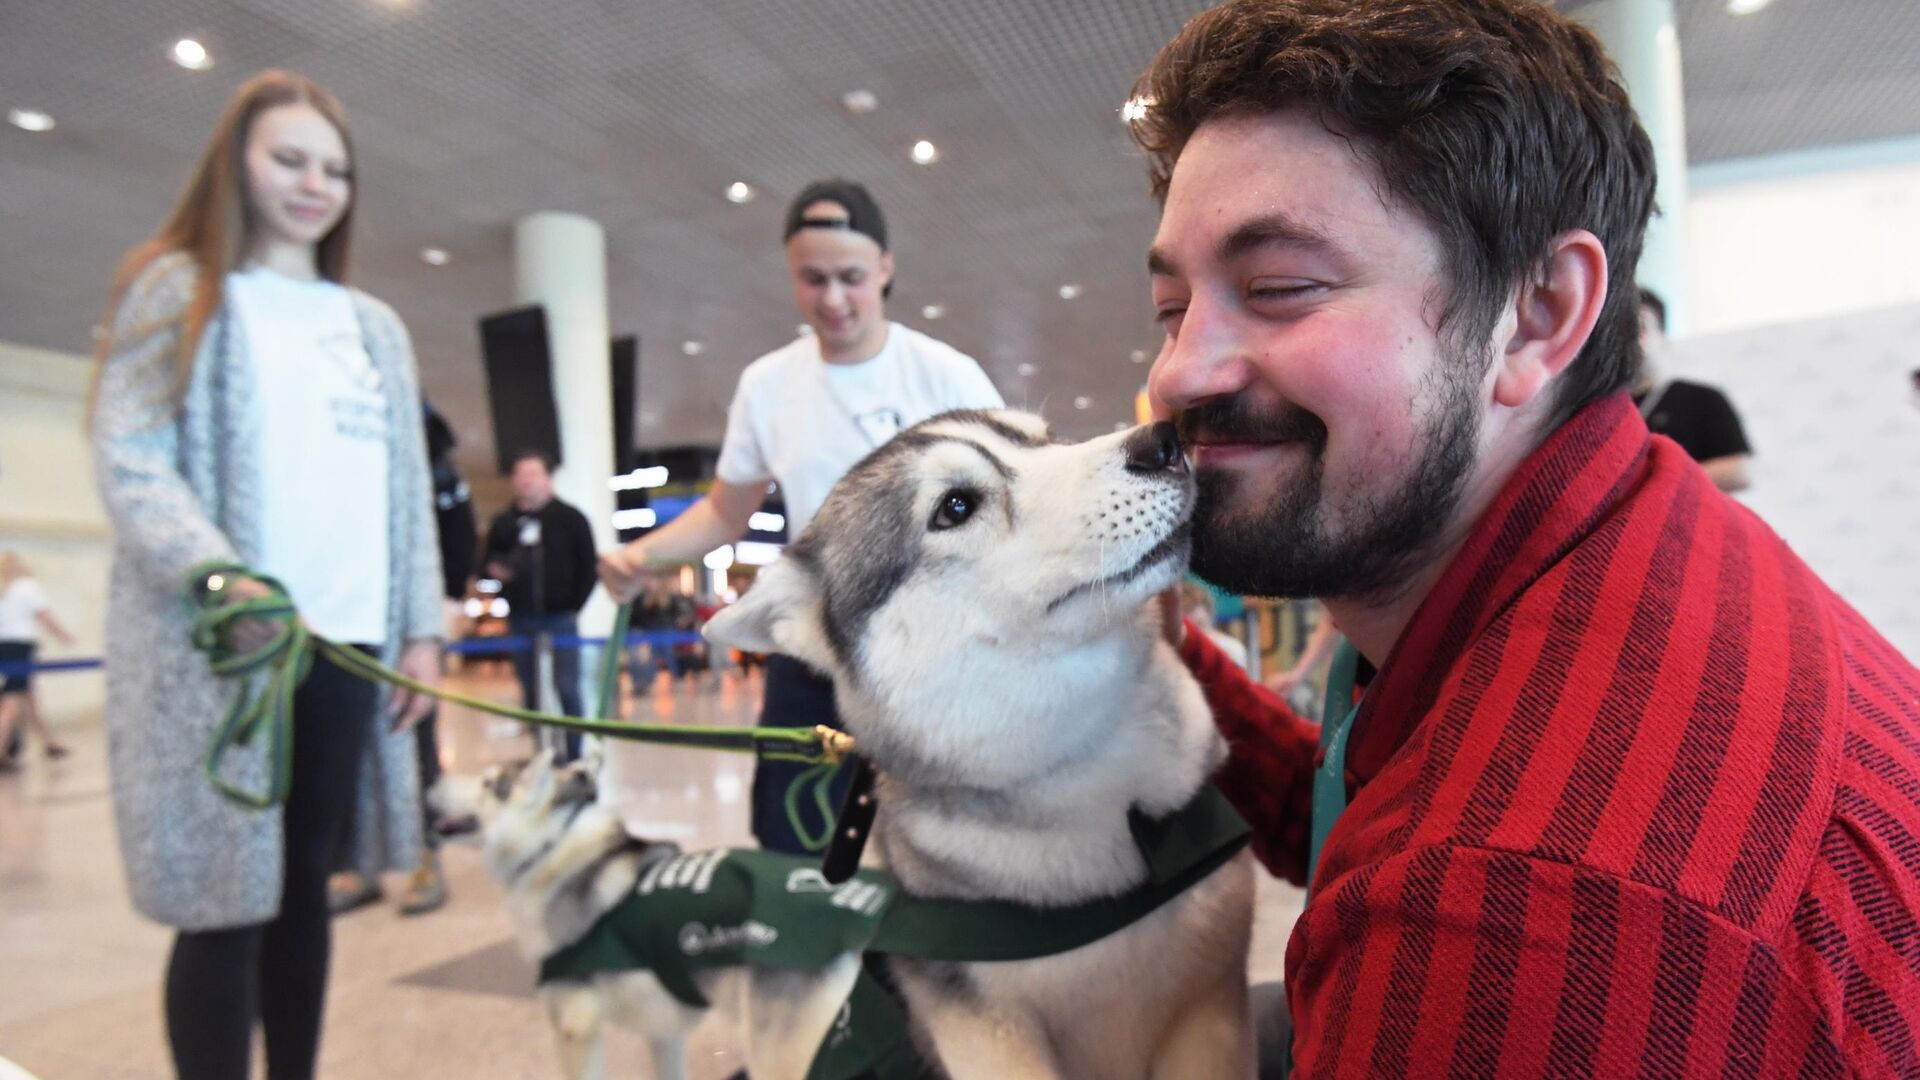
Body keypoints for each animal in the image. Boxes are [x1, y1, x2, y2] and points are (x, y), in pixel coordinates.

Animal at [487, 407, 1251, 1068]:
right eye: (955, 507)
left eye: (1047, 437)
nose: (1162, 438)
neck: (1094, 769)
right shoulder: (985, 1030)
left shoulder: (1208, 1008)